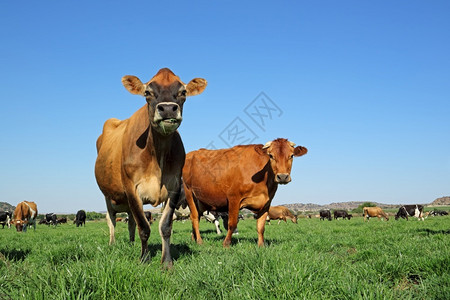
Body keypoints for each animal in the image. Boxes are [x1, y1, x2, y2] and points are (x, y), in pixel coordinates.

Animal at [96, 67, 207, 266]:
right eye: (147, 92)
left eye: (183, 92)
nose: (168, 108)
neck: (157, 155)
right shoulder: (131, 188)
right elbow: (144, 227)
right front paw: (144, 258)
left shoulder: (174, 187)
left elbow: (165, 226)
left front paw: (166, 262)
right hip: (109, 196)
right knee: (112, 220)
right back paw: (112, 243)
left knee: (130, 221)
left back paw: (131, 243)